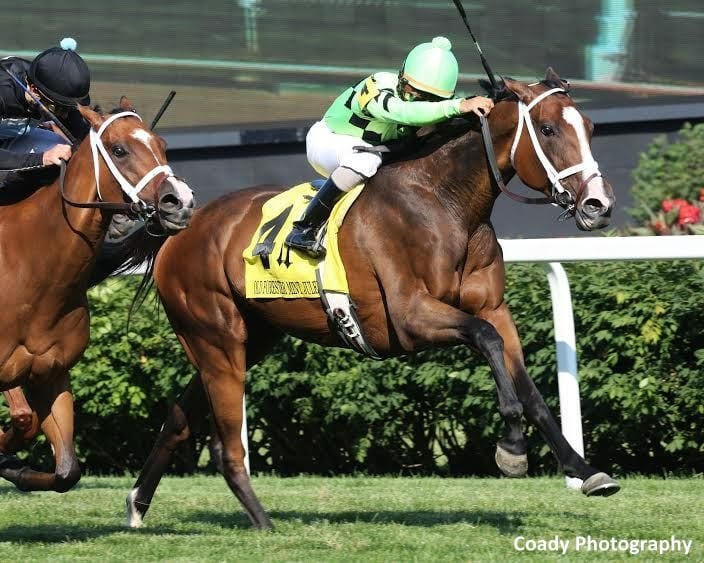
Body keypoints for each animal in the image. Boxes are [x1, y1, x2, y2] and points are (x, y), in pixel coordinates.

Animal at [0, 97, 195, 492]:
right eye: (119, 150)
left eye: (162, 145)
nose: (179, 201)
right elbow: (23, 417)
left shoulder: (51, 374)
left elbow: (66, 470)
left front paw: (16, 468)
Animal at [124, 68, 618, 530]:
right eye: (548, 129)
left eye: (591, 127)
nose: (598, 205)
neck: (445, 203)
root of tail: (181, 228)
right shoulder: (411, 317)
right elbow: (486, 340)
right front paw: (512, 448)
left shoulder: (494, 308)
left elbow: (528, 387)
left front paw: (584, 470)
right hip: (217, 339)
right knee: (225, 442)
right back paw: (261, 521)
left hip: (246, 339)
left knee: (178, 417)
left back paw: (137, 503)